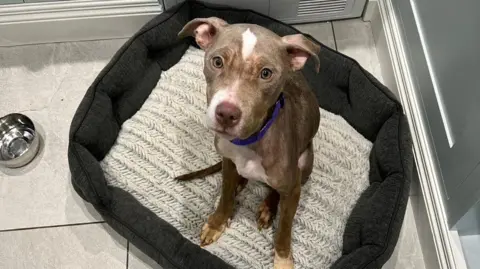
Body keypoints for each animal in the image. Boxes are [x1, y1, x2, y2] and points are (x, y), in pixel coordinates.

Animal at [178, 17, 320, 268]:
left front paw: (283, 259)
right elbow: (225, 196)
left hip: (305, 162)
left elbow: (284, 229)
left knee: (277, 191)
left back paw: (267, 208)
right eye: (217, 61)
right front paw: (217, 223)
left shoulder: (293, 190)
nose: (226, 114)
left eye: (266, 73)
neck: (247, 142)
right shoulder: (227, 160)